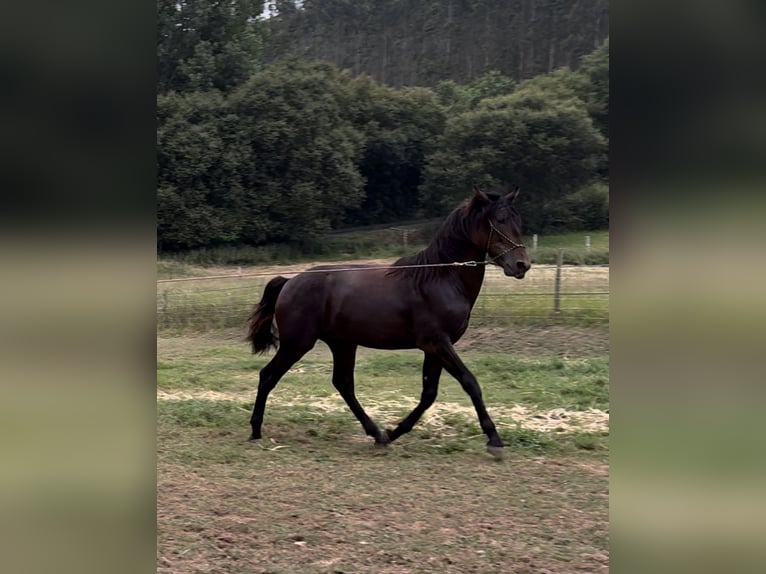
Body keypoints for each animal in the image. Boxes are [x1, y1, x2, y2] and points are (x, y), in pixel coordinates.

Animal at [245, 186, 531, 458]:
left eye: (518, 220)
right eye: (500, 220)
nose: (522, 265)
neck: (439, 278)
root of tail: (290, 281)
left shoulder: (435, 349)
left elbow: (429, 394)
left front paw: (394, 432)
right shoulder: (437, 343)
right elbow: (470, 382)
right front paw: (494, 440)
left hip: (343, 344)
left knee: (343, 383)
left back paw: (376, 434)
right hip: (297, 344)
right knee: (268, 375)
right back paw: (256, 430)